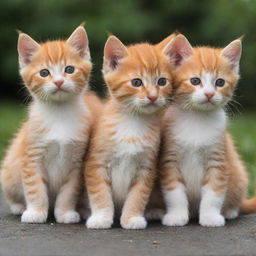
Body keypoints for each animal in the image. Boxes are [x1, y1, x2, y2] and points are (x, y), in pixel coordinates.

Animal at [0, 25, 102, 223]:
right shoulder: (31, 158)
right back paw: (18, 206)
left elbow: (68, 192)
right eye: (44, 73)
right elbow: (35, 189)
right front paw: (36, 212)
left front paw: (65, 212)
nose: (59, 81)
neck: (59, 113)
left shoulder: (76, 163)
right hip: (9, 172)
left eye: (69, 69)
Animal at [84, 34, 176, 230]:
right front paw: (101, 217)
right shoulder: (96, 163)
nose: (153, 96)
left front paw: (132, 217)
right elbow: (100, 193)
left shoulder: (147, 167)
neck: (133, 122)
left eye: (162, 81)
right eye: (136, 82)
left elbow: (138, 196)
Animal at [160, 34, 256, 228]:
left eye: (220, 82)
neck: (197, 118)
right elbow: (175, 192)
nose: (209, 94)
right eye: (195, 81)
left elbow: (214, 192)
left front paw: (210, 217)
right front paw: (176, 216)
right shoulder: (169, 160)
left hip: (238, 176)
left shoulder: (218, 159)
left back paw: (230, 210)